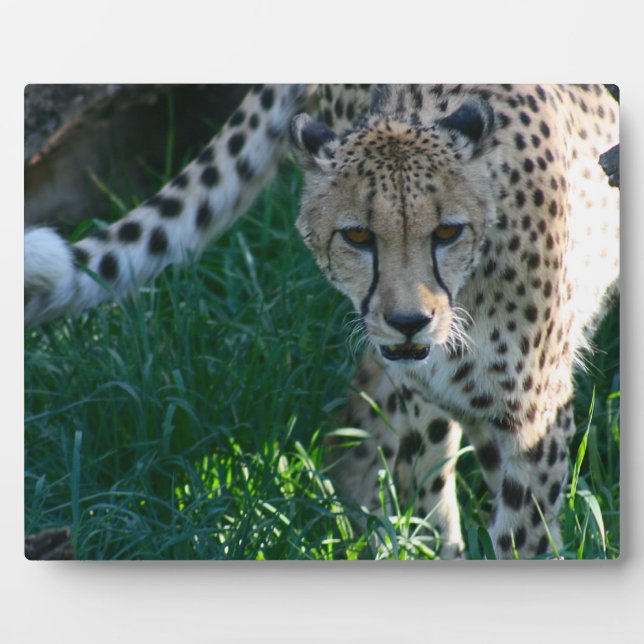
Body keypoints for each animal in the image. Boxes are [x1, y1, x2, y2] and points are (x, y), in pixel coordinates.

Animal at [24, 84, 619, 559]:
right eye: (357, 236)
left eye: (447, 232)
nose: (408, 321)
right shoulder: (425, 396)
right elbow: (432, 496)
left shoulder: (535, 415)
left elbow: (523, 535)